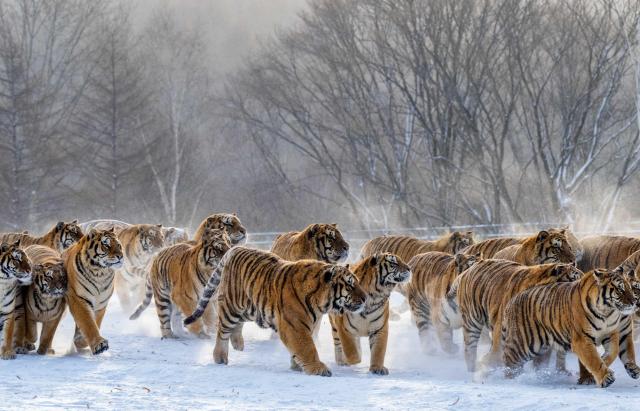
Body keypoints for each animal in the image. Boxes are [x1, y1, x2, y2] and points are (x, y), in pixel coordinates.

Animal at [182, 246, 367, 376]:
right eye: (350, 285)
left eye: (358, 282)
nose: (365, 298)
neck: (321, 302)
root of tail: (235, 249)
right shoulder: (295, 326)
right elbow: (307, 347)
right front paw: (318, 369)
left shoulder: (308, 324)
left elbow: (302, 348)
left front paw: (296, 365)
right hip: (232, 307)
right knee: (222, 331)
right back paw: (220, 357)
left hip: (250, 308)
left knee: (237, 326)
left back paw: (238, 344)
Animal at [449, 259, 582, 372]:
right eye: (574, 280)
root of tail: (468, 270)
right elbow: (497, 357)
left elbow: (540, 362)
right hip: (472, 321)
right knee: (470, 349)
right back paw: (472, 369)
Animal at [501, 267, 636, 388]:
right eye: (620, 289)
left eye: (629, 288)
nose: (634, 301)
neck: (606, 312)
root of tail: (510, 302)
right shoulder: (582, 339)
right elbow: (593, 359)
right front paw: (605, 377)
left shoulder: (610, 334)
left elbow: (612, 352)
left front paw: (601, 364)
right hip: (524, 343)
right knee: (509, 360)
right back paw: (510, 380)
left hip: (541, 348)